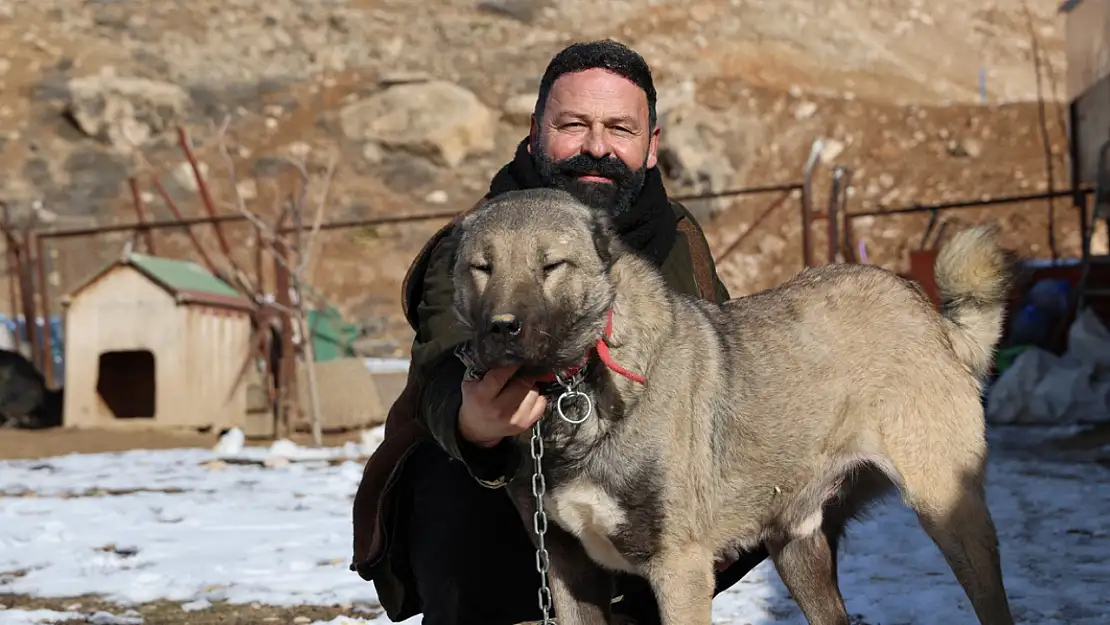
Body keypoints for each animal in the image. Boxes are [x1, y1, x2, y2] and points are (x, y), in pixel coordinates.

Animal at [448, 188, 1016, 621]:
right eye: (482, 267)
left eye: (552, 265)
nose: (502, 329)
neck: (574, 390)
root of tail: (926, 311)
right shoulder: (567, 570)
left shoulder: (679, 570)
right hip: (797, 546)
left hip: (949, 513)